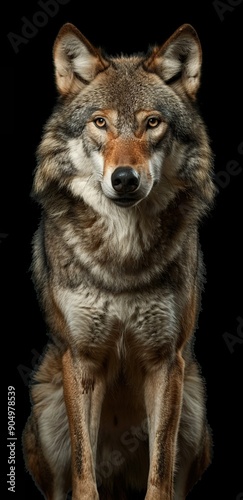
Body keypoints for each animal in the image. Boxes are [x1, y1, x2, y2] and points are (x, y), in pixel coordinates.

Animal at [22, 21, 215, 498]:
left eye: (152, 123)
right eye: (100, 122)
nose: (124, 179)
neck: (122, 255)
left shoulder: (167, 360)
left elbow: (160, 473)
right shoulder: (81, 358)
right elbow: (84, 470)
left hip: (194, 400)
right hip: (46, 401)